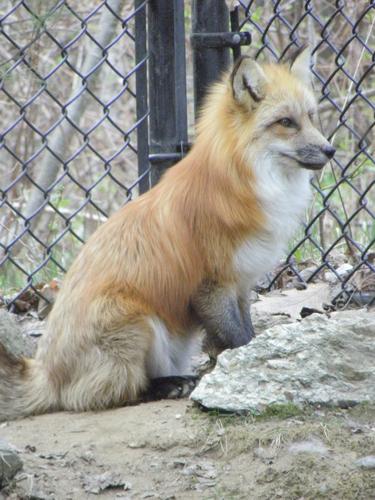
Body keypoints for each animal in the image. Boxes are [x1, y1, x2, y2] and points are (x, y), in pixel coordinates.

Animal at [0, 48, 334, 420]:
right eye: (286, 122)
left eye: (311, 117)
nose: (330, 150)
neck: (241, 184)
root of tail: (46, 371)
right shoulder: (212, 285)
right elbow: (239, 338)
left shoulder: (241, 283)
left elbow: (243, 332)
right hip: (137, 322)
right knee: (104, 394)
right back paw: (167, 386)